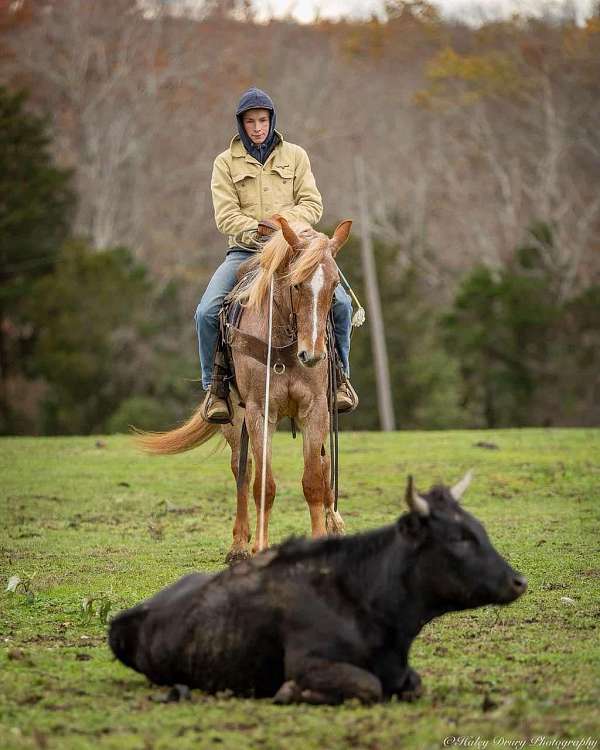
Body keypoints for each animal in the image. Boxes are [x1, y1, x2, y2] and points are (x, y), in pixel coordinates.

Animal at [108, 472, 524, 708]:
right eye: (459, 538)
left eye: (478, 528)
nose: (517, 580)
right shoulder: (309, 663)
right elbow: (368, 685)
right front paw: (292, 693)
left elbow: (412, 683)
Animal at [136, 217, 352, 564]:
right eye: (296, 284)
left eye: (334, 286)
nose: (313, 355)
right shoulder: (259, 411)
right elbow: (264, 484)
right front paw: (259, 547)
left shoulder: (316, 408)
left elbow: (314, 481)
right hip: (234, 421)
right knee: (242, 470)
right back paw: (238, 546)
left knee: (322, 466)